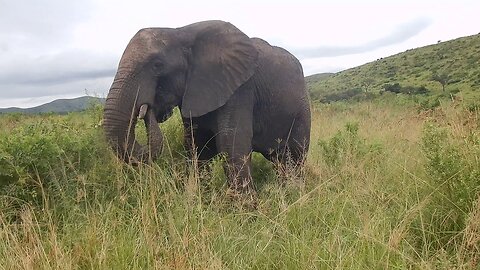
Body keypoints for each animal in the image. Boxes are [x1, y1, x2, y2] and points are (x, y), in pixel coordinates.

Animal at [102, 20, 310, 194]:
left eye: (157, 65)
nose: (146, 109)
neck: (180, 32)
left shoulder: (240, 88)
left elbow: (231, 145)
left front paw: (247, 213)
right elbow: (197, 146)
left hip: (302, 110)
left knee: (295, 157)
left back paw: (295, 194)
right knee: (278, 160)